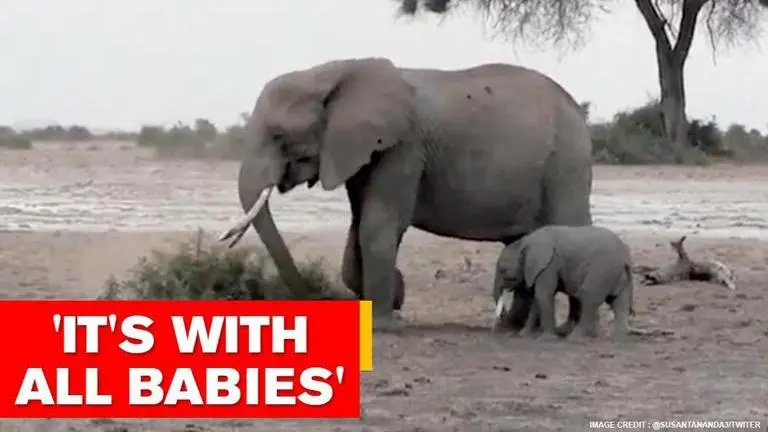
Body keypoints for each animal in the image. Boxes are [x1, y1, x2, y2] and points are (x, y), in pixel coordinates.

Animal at [218, 57, 594, 330]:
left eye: (279, 136)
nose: (315, 297)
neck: (330, 72)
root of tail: (577, 111)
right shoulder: (363, 152)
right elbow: (358, 227)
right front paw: (392, 300)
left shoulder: (403, 148)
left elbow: (378, 225)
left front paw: (383, 324)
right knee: (524, 243)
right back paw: (512, 329)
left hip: (567, 164)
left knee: (572, 231)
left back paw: (574, 328)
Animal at [493, 225, 635, 340]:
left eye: (503, 270)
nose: (496, 329)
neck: (525, 242)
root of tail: (626, 257)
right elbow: (537, 299)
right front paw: (523, 334)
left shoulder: (549, 265)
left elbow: (543, 295)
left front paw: (547, 339)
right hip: (616, 273)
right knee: (619, 301)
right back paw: (618, 338)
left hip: (602, 270)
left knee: (589, 298)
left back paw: (574, 338)